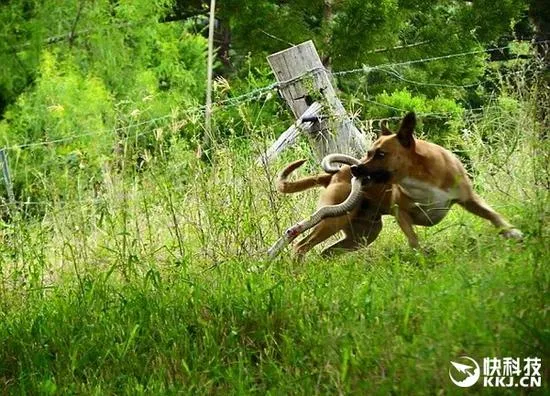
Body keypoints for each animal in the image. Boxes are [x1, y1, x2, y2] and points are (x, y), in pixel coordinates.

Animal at [278, 110, 524, 256]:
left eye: (380, 154)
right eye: (368, 152)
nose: (355, 169)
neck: (420, 174)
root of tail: (331, 176)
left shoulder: (469, 199)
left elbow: (492, 214)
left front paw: (511, 232)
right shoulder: (402, 212)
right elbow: (413, 239)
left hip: (363, 235)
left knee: (326, 252)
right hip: (333, 220)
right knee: (301, 245)